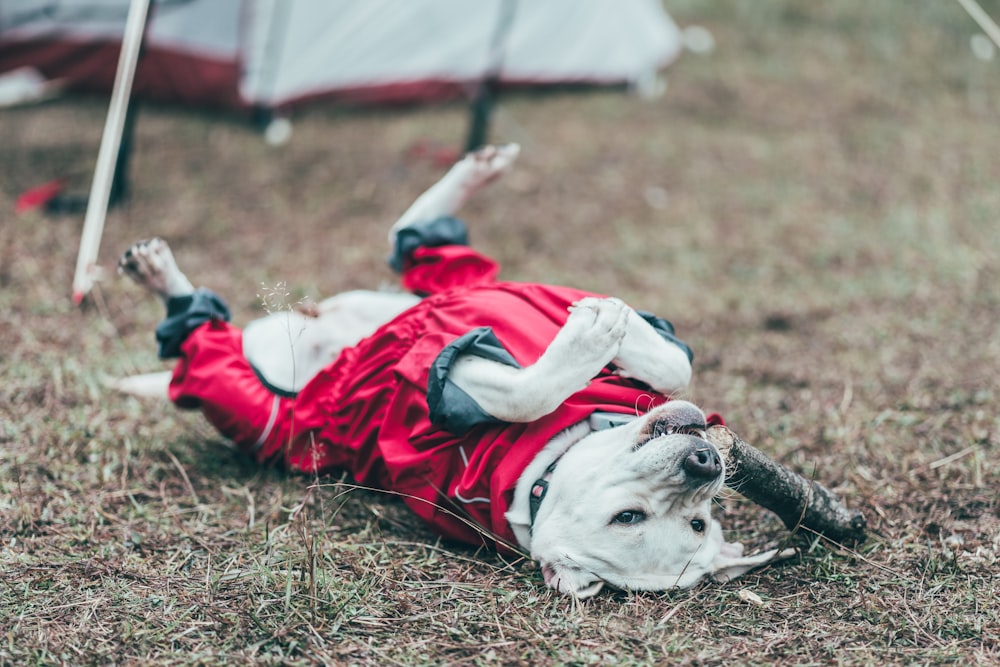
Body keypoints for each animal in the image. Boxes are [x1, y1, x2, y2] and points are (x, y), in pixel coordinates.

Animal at [117, 144, 788, 596]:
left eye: (695, 522)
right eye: (630, 517)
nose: (703, 461)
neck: (547, 465)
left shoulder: (439, 388)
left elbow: (521, 381)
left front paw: (596, 332)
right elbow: (662, 366)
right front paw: (605, 324)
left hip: (262, 410)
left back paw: (161, 276)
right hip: (409, 305)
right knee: (415, 244)